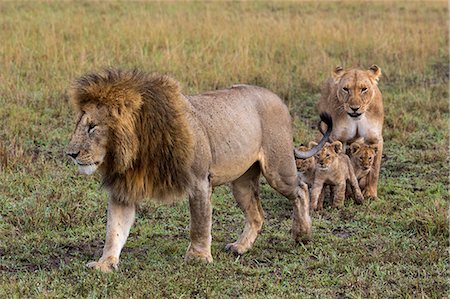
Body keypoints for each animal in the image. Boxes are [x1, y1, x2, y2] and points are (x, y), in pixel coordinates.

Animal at [67, 69, 334, 274]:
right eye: (80, 125)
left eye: (92, 127)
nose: (70, 153)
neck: (136, 150)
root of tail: (278, 99)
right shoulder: (124, 189)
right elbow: (114, 230)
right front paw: (104, 264)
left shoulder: (199, 181)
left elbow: (199, 223)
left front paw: (198, 259)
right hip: (242, 182)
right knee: (257, 213)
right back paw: (240, 247)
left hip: (278, 169)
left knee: (300, 189)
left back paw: (302, 234)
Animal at [316, 66, 384, 202]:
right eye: (346, 89)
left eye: (364, 89)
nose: (354, 108)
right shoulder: (339, 139)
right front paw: (344, 194)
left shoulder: (375, 139)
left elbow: (374, 170)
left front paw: (371, 194)